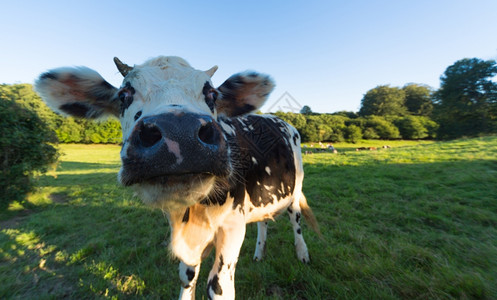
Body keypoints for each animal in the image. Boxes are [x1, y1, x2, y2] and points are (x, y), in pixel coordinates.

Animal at [35, 56, 322, 300]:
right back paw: (259, 253)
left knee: (295, 221)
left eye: (212, 94)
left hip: (295, 189)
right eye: (124, 94)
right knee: (264, 221)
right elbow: (187, 275)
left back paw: (303, 254)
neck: (192, 213)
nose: (180, 133)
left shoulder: (232, 225)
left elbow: (218, 286)